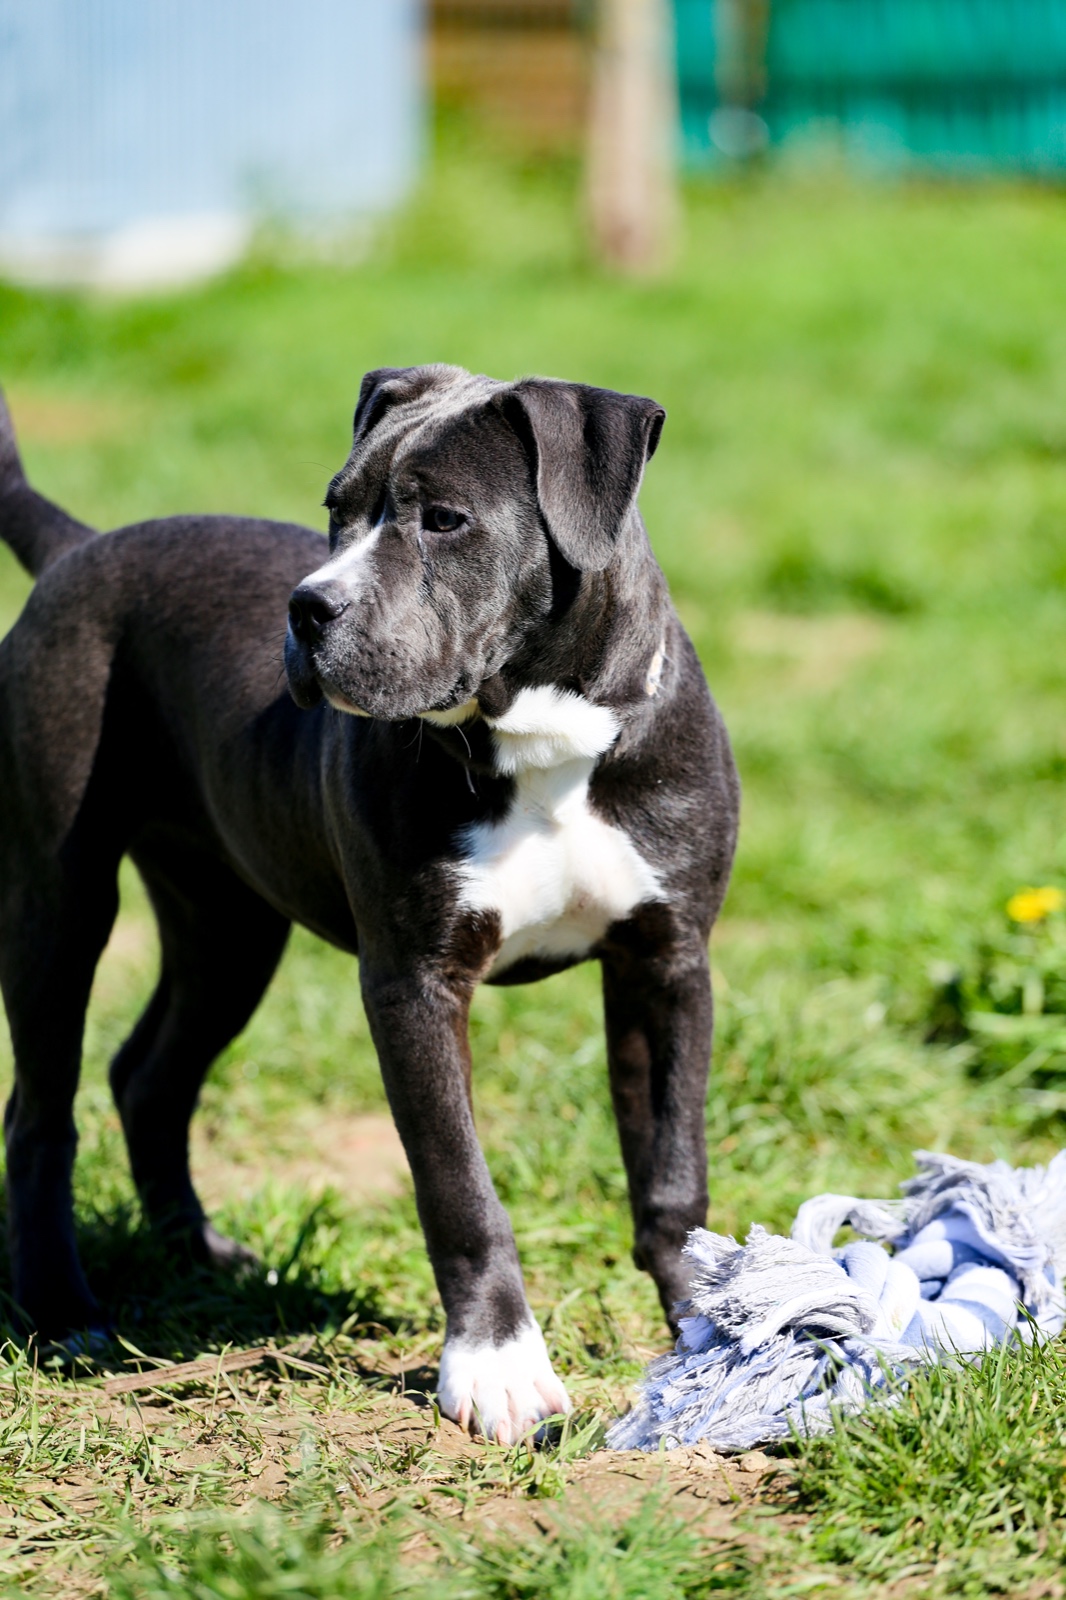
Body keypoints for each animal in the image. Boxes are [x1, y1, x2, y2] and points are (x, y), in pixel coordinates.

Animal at [0, 365, 738, 1442]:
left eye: (444, 519)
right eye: (334, 511)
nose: (307, 608)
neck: (544, 739)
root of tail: (78, 548)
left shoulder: (666, 959)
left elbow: (672, 1168)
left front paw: (711, 1324)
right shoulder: (415, 983)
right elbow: (459, 1186)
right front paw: (499, 1368)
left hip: (228, 924)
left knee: (150, 1075)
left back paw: (199, 1252)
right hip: (59, 898)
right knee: (41, 1108)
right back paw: (64, 1313)